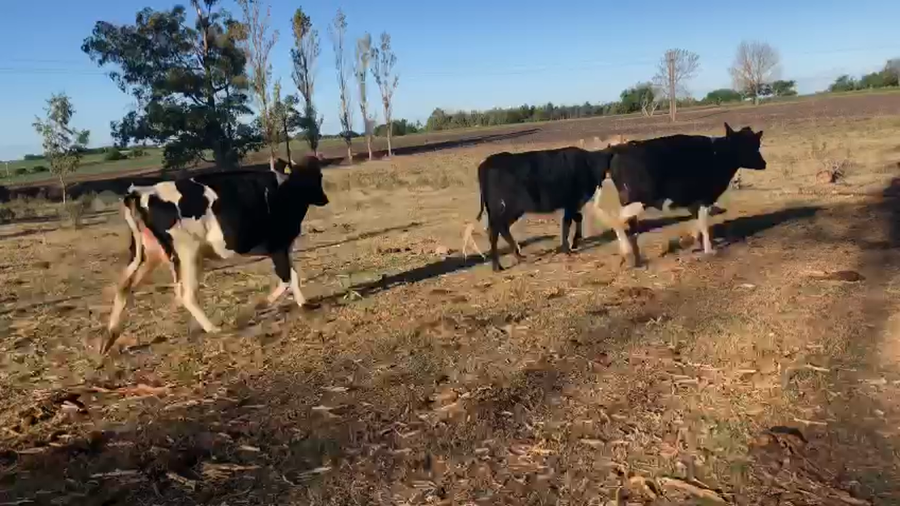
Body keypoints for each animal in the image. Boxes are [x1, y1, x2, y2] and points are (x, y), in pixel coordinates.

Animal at [104, 156, 328, 354]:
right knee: (186, 294)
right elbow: (286, 278)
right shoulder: (278, 245)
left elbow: (293, 276)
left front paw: (303, 303)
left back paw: (109, 338)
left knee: (124, 287)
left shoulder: (285, 246)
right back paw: (212, 328)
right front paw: (260, 304)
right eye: (311, 178)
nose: (324, 199)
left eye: (318, 175)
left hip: (147, 255)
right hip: (188, 253)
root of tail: (142, 191)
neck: (286, 191)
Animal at [461, 146, 614, 272]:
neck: (588, 163)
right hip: (506, 208)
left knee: (501, 229)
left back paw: (517, 256)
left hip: (509, 210)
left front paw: (575, 242)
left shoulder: (573, 204)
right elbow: (567, 223)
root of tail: (486, 163)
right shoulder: (572, 202)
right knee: (495, 231)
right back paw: (498, 266)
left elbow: (577, 218)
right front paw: (568, 248)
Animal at [592, 122, 767, 266]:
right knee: (616, 220)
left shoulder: (694, 201)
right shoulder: (705, 198)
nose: (764, 164)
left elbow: (698, 223)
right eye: (752, 145)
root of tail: (618, 149)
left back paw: (636, 259)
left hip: (629, 200)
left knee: (627, 226)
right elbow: (704, 225)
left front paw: (689, 241)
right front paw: (709, 250)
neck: (718, 154)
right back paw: (627, 253)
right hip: (640, 199)